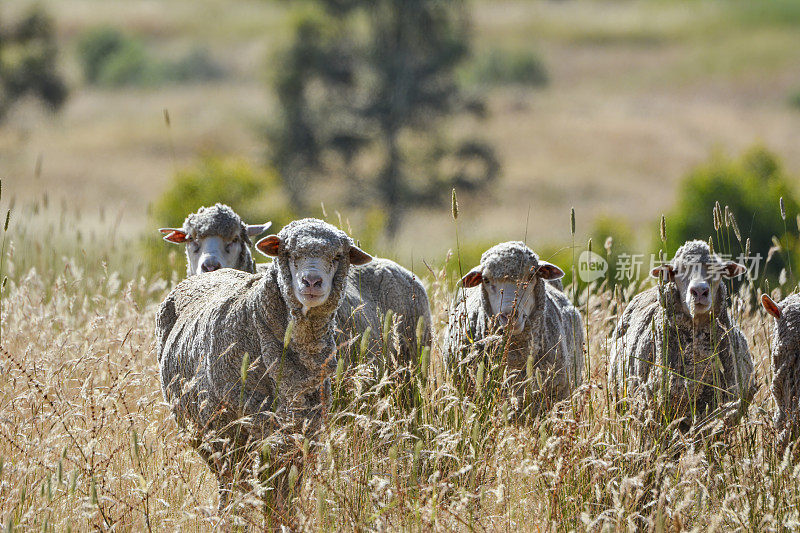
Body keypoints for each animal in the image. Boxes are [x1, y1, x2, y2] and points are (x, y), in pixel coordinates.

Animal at [157, 216, 376, 512]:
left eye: (338, 256)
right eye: (289, 253)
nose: (312, 281)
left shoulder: (303, 432)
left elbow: (285, 494)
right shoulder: (227, 427)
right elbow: (239, 486)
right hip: (200, 428)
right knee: (225, 480)